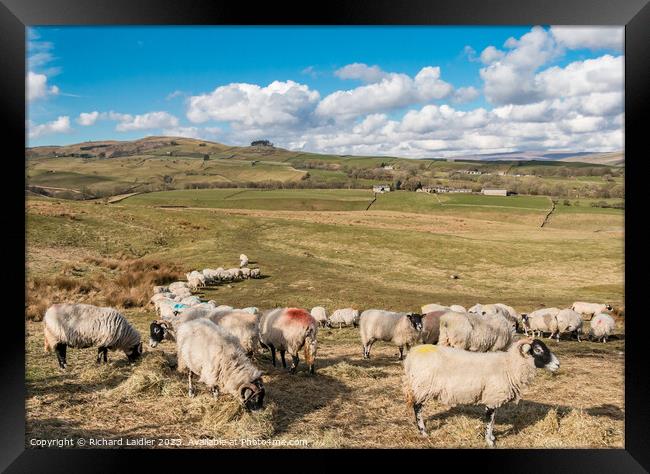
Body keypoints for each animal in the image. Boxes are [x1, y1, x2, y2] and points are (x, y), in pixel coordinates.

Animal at [400, 336, 556, 444]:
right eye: (538, 350)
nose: (557, 364)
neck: (510, 365)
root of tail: (411, 355)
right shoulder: (492, 397)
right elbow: (489, 421)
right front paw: (489, 440)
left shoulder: (494, 397)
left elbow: (493, 420)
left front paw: (492, 437)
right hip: (422, 386)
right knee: (417, 408)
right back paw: (423, 432)